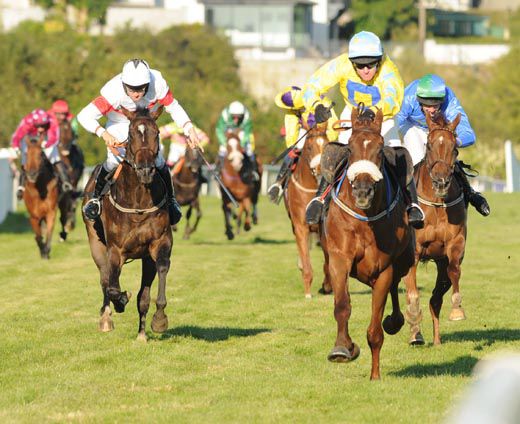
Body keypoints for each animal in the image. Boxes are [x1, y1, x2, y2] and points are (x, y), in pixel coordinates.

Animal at [81, 106, 171, 342]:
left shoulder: (157, 244)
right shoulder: (116, 250)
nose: (146, 170)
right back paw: (106, 317)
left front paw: (157, 321)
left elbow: (156, 277)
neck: (138, 202)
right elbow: (113, 287)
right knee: (105, 279)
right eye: (131, 134)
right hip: (95, 243)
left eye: (157, 133)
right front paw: (120, 302)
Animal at [282, 121, 332, 298]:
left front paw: (327, 285)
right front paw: (308, 292)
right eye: (309, 147)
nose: (321, 168)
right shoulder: (300, 226)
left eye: (327, 145)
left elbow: (328, 262)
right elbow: (305, 257)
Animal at [324, 107, 414, 380]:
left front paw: (375, 375)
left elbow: (375, 330)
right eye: (350, 148)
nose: (363, 191)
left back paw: (395, 320)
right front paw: (343, 348)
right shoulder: (339, 258)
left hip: (404, 260)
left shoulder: (383, 269)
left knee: (396, 285)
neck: (365, 220)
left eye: (379, 149)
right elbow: (342, 305)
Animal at [402, 111, 468, 346]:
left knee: (435, 298)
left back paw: (437, 340)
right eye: (429, 145)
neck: (437, 205)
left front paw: (457, 310)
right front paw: (414, 326)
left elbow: (454, 271)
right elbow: (412, 293)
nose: (440, 182)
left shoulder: (455, 244)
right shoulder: (413, 251)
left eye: (454, 147)